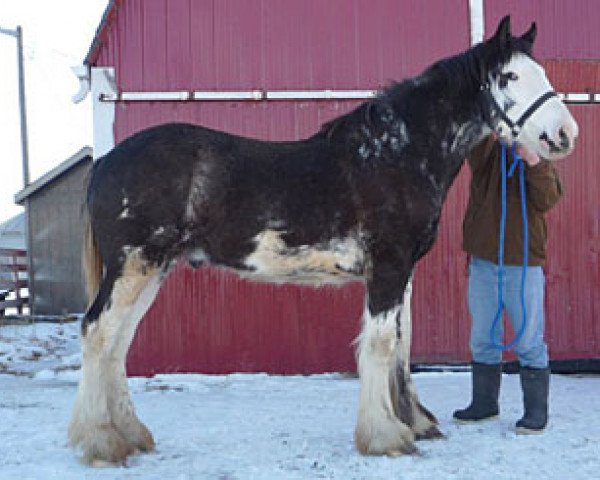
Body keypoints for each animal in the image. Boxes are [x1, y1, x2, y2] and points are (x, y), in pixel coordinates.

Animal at [69, 15, 576, 464]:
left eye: (543, 72)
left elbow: (403, 345)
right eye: (510, 75)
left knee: (118, 342)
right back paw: (102, 443)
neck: (395, 155)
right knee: (98, 333)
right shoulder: (388, 267)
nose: (563, 134)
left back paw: (132, 435)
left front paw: (415, 423)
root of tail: (106, 161)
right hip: (134, 265)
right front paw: (385, 437)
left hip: (152, 269)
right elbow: (380, 345)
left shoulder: (402, 272)